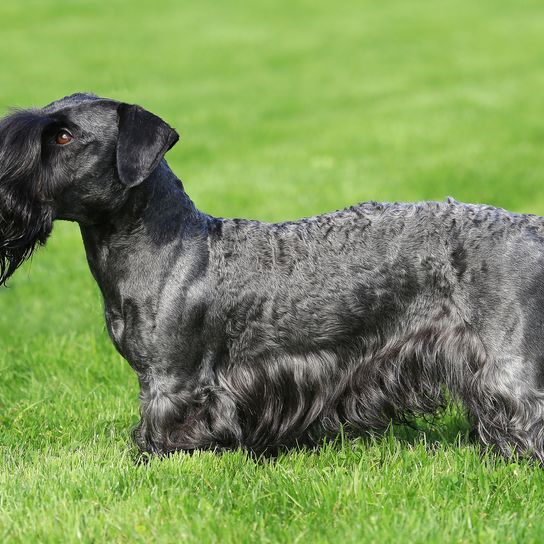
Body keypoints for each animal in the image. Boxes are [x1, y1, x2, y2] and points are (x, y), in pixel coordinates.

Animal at [1, 92, 544, 460]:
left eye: (63, 135)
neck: (167, 243)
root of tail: (531, 227)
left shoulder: (171, 381)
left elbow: (164, 434)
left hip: (508, 360)